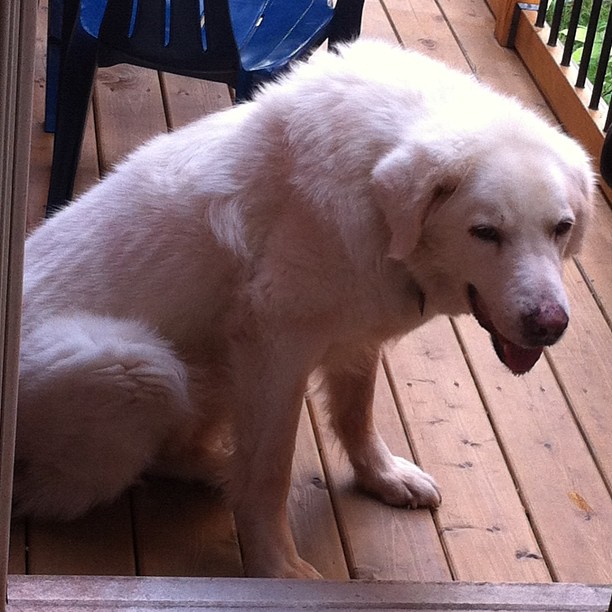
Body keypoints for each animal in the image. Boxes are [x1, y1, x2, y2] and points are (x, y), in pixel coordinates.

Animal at [16, 40, 592, 576]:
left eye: (561, 228)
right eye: (485, 232)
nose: (550, 326)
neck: (379, 214)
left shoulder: (354, 332)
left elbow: (358, 413)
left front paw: (383, 477)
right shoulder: (276, 350)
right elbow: (270, 470)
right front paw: (276, 566)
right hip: (140, 366)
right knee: (51, 493)